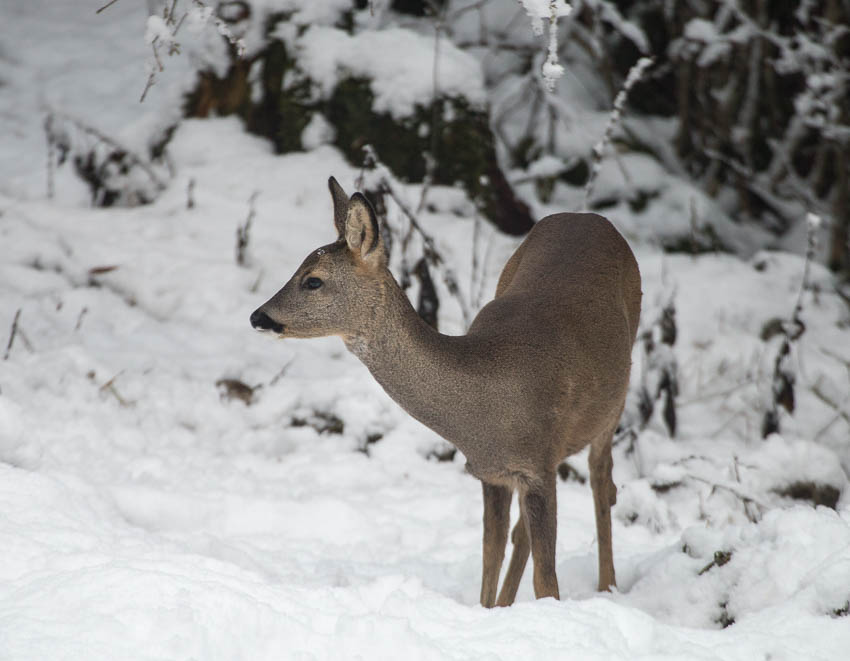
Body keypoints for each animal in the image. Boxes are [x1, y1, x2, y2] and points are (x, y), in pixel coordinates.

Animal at [248, 177, 640, 608]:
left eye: (313, 280)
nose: (258, 316)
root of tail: (590, 217)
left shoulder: (538, 467)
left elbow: (546, 582)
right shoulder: (494, 472)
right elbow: (490, 560)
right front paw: (494, 609)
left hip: (616, 395)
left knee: (602, 480)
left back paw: (607, 587)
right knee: (525, 531)